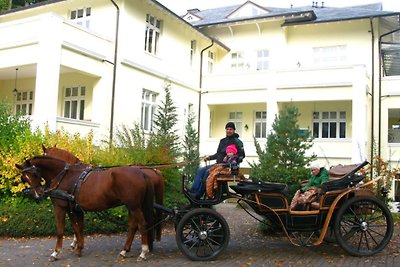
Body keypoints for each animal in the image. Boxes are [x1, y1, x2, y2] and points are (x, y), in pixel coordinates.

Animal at [15, 156, 154, 262]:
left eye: (35, 173)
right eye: (24, 178)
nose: (38, 194)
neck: (63, 176)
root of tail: (141, 173)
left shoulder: (60, 208)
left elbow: (60, 230)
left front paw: (56, 252)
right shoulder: (73, 209)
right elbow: (77, 228)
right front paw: (79, 248)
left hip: (134, 206)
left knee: (142, 224)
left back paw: (143, 252)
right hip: (131, 207)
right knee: (133, 226)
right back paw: (124, 251)